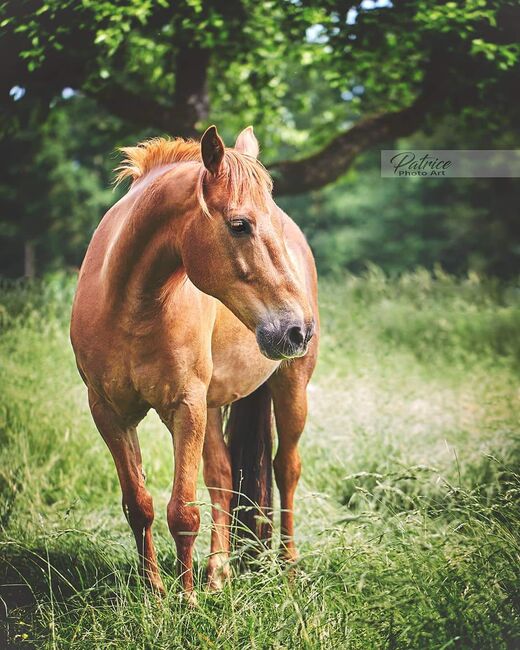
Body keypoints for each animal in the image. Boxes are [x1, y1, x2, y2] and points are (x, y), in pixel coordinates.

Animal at [70, 125, 319, 599]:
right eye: (240, 225)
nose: (298, 329)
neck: (131, 306)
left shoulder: (184, 408)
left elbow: (183, 512)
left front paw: (185, 601)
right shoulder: (109, 414)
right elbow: (140, 505)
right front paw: (155, 595)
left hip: (290, 386)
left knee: (287, 469)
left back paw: (290, 567)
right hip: (213, 405)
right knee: (222, 477)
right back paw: (218, 572)